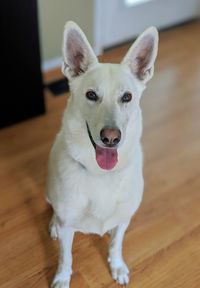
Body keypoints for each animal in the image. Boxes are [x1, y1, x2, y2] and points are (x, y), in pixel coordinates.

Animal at [46, 20, 159, 288]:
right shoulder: (68, 227)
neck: (100, 174)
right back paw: (53, 224)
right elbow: (65, 257)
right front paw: (62, 278)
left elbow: (116, 244)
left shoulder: (125, 220)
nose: (111, 138)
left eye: (127, 97)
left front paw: (116, 265)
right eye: (91, 95)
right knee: (54, 210)